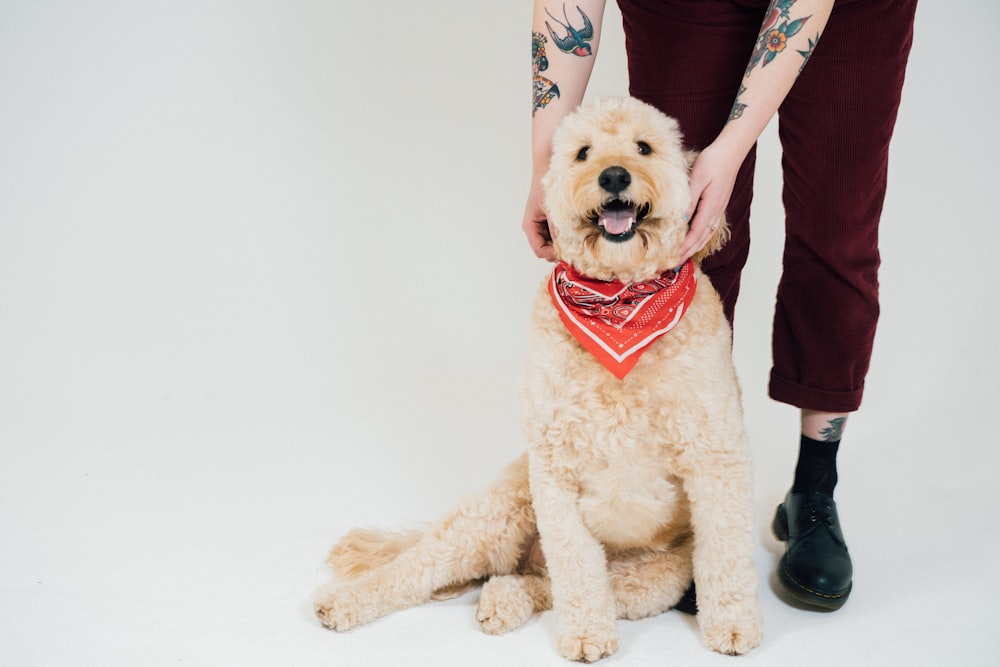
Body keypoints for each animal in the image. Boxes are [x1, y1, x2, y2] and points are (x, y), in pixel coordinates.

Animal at [316, 96, 760, 660]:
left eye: (644, 147)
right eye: (583, 153)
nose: (614, 175)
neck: (618, 306)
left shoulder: (715, 454)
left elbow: (726, 549)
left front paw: (733, 624)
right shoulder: (554, 468)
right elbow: (575, 563)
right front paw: (587, 634)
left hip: (652, 580)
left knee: (543, 584)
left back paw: (503, 600)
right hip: (496, 515)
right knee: (420, 566)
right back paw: (348, 600)